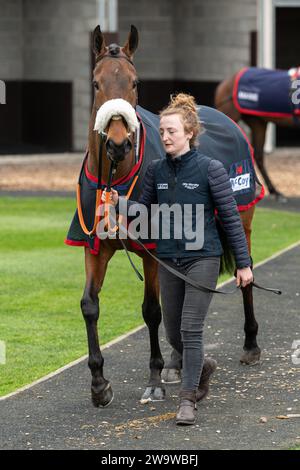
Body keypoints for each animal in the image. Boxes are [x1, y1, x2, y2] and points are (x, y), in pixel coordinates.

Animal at [68, 26, 262, 408]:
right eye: (96, 83)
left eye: (135, 83)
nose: (117, 145)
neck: (116, 177)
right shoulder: (95, 248)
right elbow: (89, 305)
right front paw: (99, 383)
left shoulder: (152, 252)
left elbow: (152, 311)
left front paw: (155, 377)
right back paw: (178, 360)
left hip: (241, 220)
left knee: (245, 278)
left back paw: (250, 344)